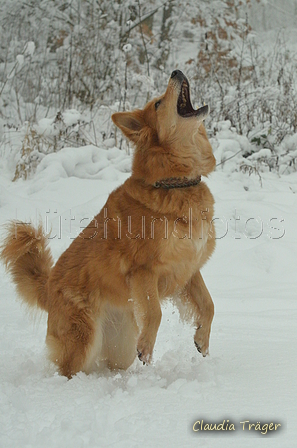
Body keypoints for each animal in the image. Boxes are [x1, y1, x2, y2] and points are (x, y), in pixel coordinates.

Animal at [0, 70, 215, 378]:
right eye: (158, 104)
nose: (176, 72)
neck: (174, 184)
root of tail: (49, 285)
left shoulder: (188, 269)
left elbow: (208, 304)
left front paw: (202, 340)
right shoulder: (143, 271)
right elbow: (155, 312)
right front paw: (147, 348)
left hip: (119, 345)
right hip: (83, 338)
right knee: (67, 368)